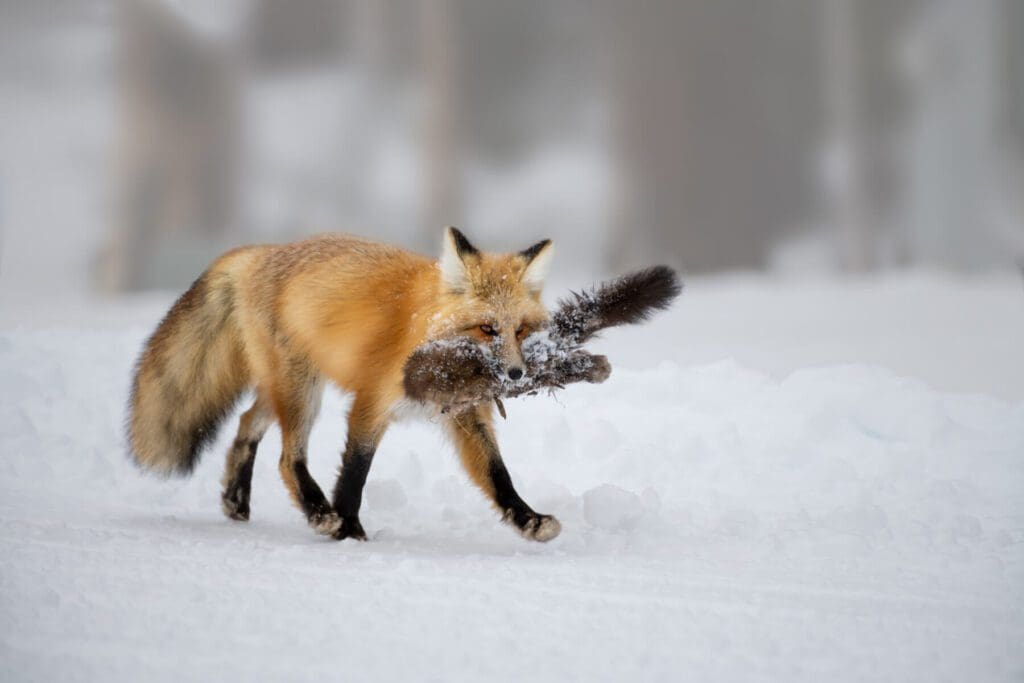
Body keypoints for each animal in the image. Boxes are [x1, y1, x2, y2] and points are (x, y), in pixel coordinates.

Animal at [129, 227, 565, 540]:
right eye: (487, 329)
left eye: (520, 330)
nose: (515, 375)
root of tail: (263, 251)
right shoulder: (371, 401)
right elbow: (357, 467)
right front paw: (349, 528)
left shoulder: (465, 414)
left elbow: (497, 473)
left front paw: (527, 519)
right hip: (300, 391)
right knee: (287, 458)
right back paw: (320, 513)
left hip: (285, 387)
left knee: (246, 422)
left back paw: (236, 500)